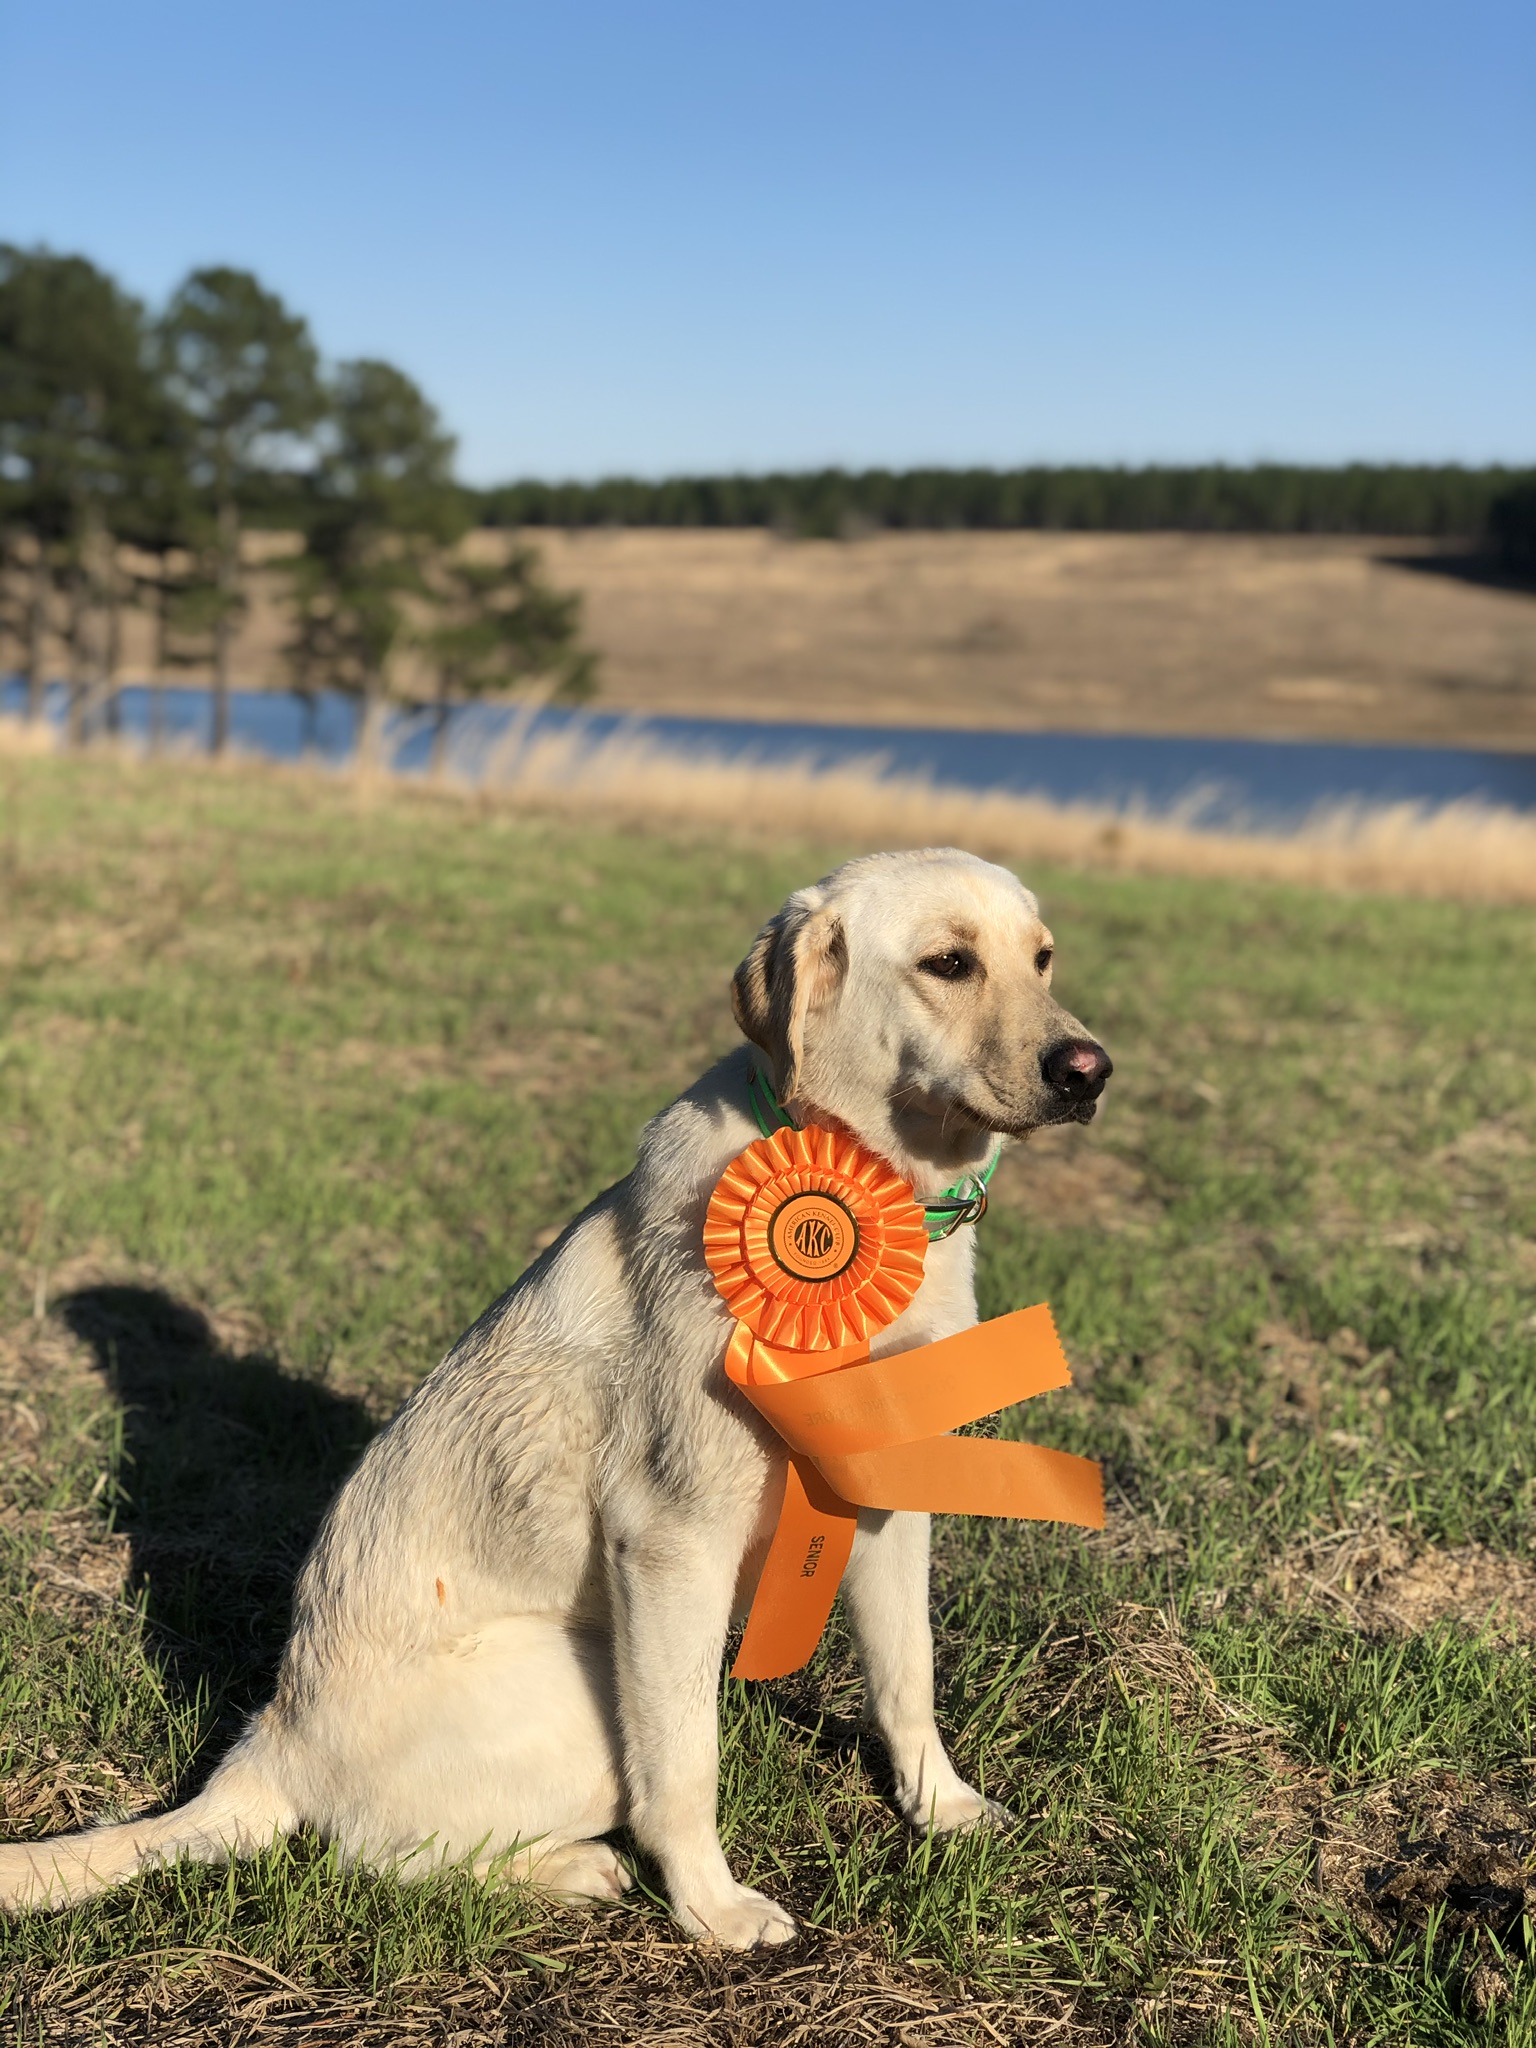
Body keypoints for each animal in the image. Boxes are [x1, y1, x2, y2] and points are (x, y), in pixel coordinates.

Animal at [0, 847, 1114, 1949]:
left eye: (1044, 957)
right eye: (947, 963)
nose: (1090, 1071)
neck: (875, 1190)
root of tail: (264, 1747)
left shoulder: (883, 1498)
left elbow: (907, 1675)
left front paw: (943, 1807)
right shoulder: (670, 1539)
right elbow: (685, 1764)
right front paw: (712, 1909)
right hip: (581, 1687)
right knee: (371, 1856)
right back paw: (577, 1869)